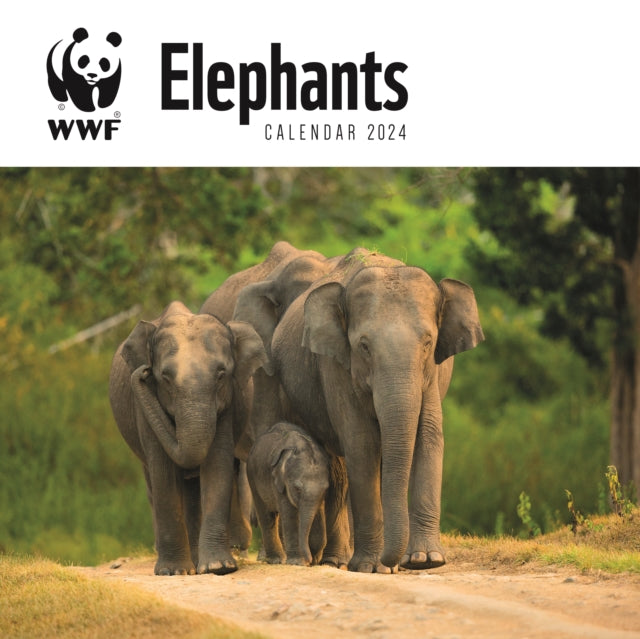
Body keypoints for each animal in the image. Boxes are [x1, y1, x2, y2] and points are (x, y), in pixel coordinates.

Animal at [109, 301, 268, 575]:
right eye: (164, 377)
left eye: (221, 374)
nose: (143, 371)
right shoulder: (144, 407)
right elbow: (163, 471)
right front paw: (173, 572)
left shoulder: (227, 404)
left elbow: (217, 465)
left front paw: (218, 567)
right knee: (153, 480)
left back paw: (196, 560)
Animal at [247, 422, 330, 566]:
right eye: (297, 488)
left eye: (325, 489)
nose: (309, 560)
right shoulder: (280, 483)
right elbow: (290, 515)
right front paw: (298, 562)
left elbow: (319, 514)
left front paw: (314, 560)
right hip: (252, 476)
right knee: (267, 516)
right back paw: (276, 560)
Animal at [268, 248, 484, 573]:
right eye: (364, 346)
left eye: (428, 342)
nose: (394, 563)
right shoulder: (336, 366)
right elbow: (362, 444)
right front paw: (370, 567)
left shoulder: (431, 374)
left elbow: (429, 437)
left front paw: (425, 561)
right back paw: (337, 561)